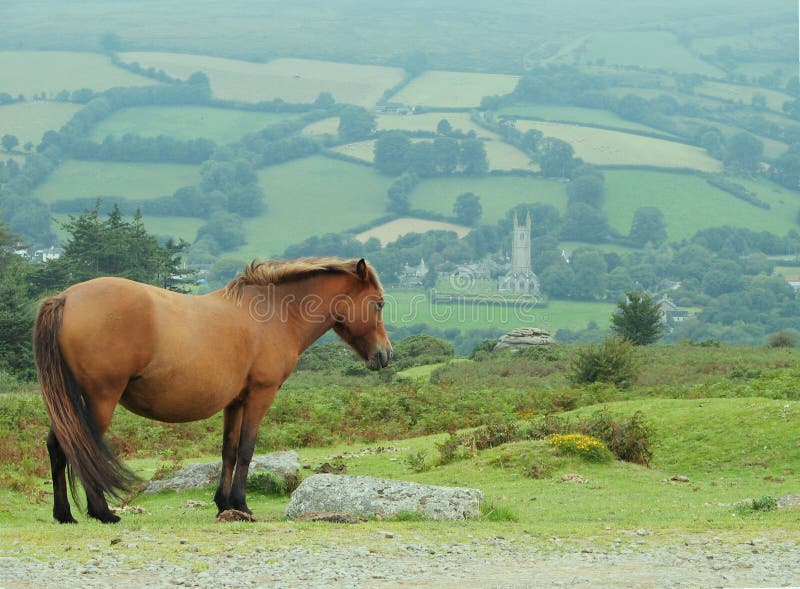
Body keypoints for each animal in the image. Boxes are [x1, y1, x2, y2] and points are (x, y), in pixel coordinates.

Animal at [34, 258, 390, 524]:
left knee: (58, 445)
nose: (385, 355)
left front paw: (224, 504)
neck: (273, 314)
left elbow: (229, 451)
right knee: (83, 447)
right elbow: (246, 449)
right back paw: (102, 512)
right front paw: (242, 505)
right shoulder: (261, 395)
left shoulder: (235, 402)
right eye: (378, 304)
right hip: (100, 399)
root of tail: (65, 298)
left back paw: (64, 514)